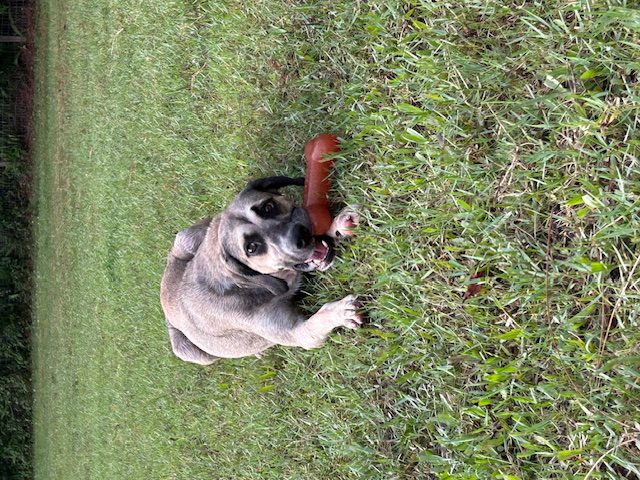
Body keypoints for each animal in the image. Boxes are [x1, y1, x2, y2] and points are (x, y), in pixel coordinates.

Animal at [160, 176, 360, 364]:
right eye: (252, 247)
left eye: (268, 207)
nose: (300, 236)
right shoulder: (297, 332)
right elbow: (319, 318)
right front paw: (341, 312)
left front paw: (340, 225)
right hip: (191, 352)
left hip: (194, 234)